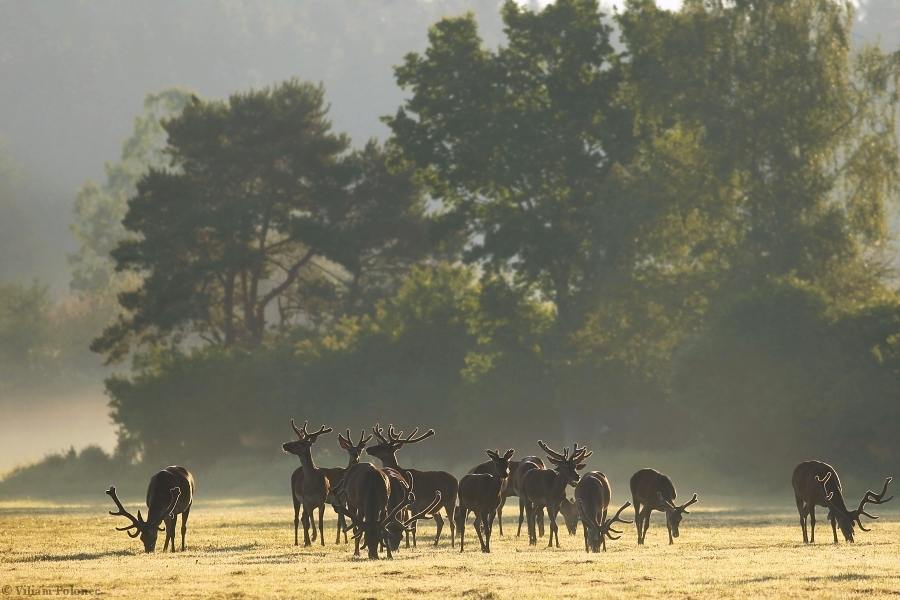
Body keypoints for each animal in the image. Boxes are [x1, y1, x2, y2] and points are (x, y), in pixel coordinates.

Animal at [282, 420, 334, 548]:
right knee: (297, 519)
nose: (285, 445)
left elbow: (320, 524)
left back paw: (306, 541)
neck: (313, 484)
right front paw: (313, 537)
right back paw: (298, 542)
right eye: (297, 440)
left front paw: (322, 542)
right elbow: (310, 521)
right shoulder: (307, 501)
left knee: (303, 518)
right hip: (295, 497)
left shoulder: (321, 501)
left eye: (300, 443)